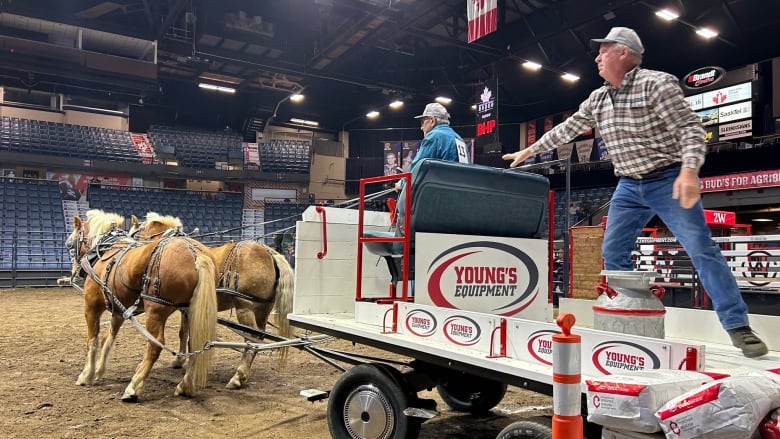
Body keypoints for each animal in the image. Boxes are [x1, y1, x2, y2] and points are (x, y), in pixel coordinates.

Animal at [67, 210, 218, 402]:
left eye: (75, 237)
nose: (67, 244)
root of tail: (197, 254)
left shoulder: (91, 306)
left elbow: (92, 340)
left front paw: (87, 375)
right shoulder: (119, 311)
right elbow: (108, 339)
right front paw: (100, 370)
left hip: (155, 311)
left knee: (155, 346)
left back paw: (133, 387)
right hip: (192, 311)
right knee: (195, 344)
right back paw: (185, 386)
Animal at [131, 211, 296, 390]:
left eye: (133, 235)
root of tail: (269, 252)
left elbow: (186, 334)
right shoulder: (187, 308)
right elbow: (184, 333)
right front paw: (179, 360)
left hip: (244, 307)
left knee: (251, 338)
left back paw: (238, 376)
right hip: (262, 310)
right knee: (258, 337)